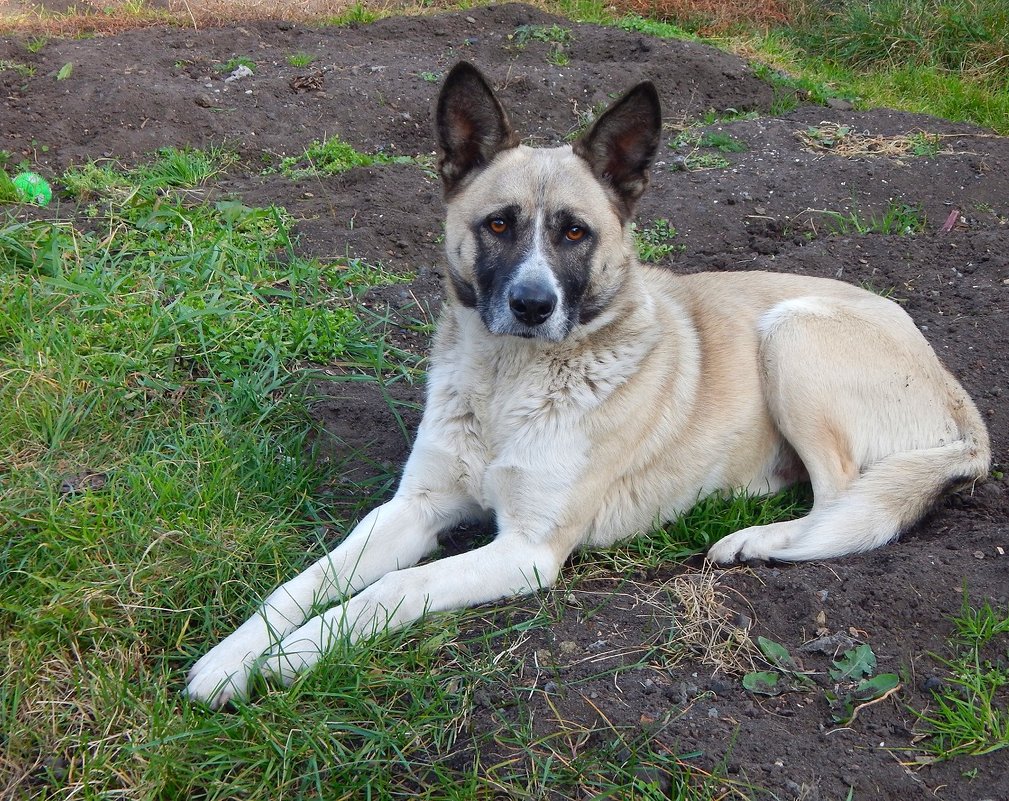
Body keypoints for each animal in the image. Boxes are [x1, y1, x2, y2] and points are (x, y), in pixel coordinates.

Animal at [185, 62, 988, 706]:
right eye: (498, 224)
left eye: (575, 232)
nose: (533, 306)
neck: (507, 385)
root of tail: (960, 401)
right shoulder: (414, 507)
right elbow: (306, 581)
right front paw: (233, 657)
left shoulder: (527, 549)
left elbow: (393, 587)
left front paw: (292, 656)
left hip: (789, 331)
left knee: (844, 504)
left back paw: (756, 538)